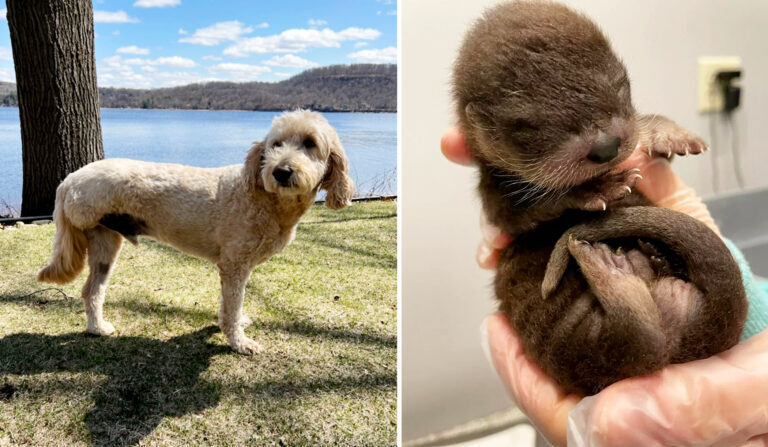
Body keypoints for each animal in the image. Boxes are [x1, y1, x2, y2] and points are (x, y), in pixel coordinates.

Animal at [38, 110, 354, 356]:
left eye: (310, 143)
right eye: (276, 144)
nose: (281, 171)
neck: (263, 197)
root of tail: (68, 180)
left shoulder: (234, 267)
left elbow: (229, 306)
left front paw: (233, 325)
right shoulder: (234, 265)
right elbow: (232, 306)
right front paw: (238, 342)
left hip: (105, 242)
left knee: (91, 290)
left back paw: (97, 328)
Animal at [452, 0, 748, 394]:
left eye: (621, 87)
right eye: (526, 127)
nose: (606, 145)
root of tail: (681, 346)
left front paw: (667, 133)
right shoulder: (494, 195)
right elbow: (529, 207)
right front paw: (595, 189)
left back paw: (646, 259)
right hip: (607, 353)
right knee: (638, 336)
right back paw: (607, 267)